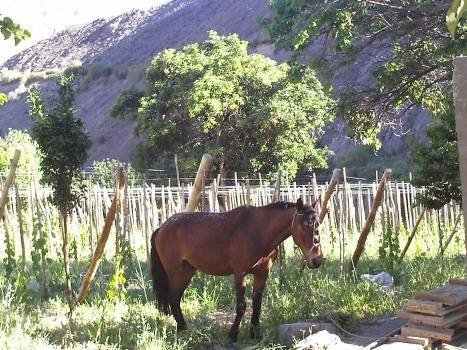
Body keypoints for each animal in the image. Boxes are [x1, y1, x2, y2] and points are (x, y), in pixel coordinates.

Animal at [151, 200, 326, 342]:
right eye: (304, 227)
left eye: (318, 225)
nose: (317, 259)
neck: (259, 232)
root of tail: (162, 227)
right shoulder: (240, 273)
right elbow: (241, 306)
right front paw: (233, 335)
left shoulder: (262, 274)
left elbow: (257, 304)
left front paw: (255, 333)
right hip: (176, 273)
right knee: (173, 298)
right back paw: (182, 329)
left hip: (187, 272)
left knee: (175, 299)